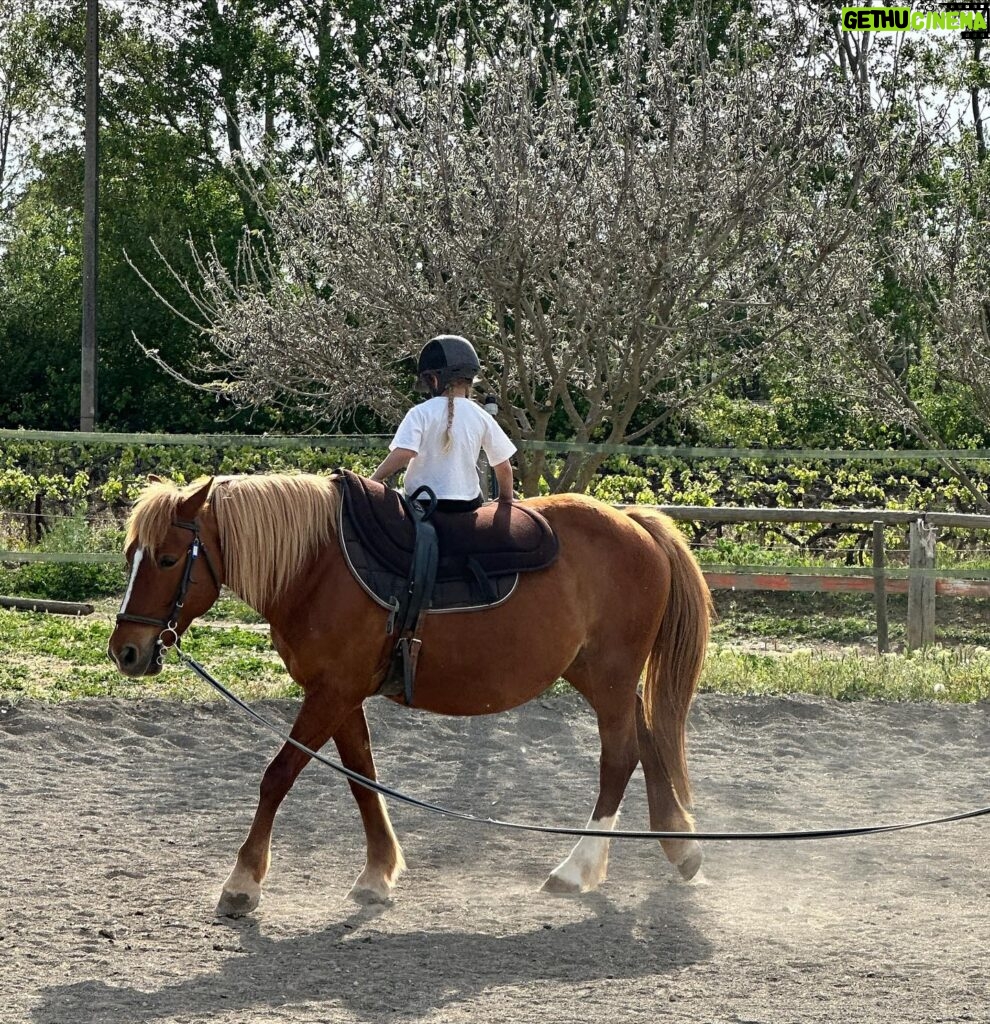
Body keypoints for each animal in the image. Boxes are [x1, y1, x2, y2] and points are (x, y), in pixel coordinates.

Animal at [108, 471, 712, 913]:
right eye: (130, 553)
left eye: (167, 558)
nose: (125, 651)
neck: (318, 566)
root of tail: (633, 523)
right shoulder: (341, 694)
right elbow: (362, 778)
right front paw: (377, 873)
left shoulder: (331, 692)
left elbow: (278, 776)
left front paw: (243, 882)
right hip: (597, 675)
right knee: (648, 741)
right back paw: (680, 847)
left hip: (610, 676)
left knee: (620, 758)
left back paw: (577, 867)